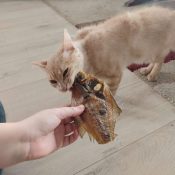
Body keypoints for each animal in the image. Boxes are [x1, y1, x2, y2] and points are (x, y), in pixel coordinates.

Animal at [33, 6, 175, 95]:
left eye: (65, 72)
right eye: (53, 82)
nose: (63, 88)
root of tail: (170, 12)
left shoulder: (115, 75)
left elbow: (111, 93)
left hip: (151, 51)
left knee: (160, 60)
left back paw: (152, 74)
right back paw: (147, 70)